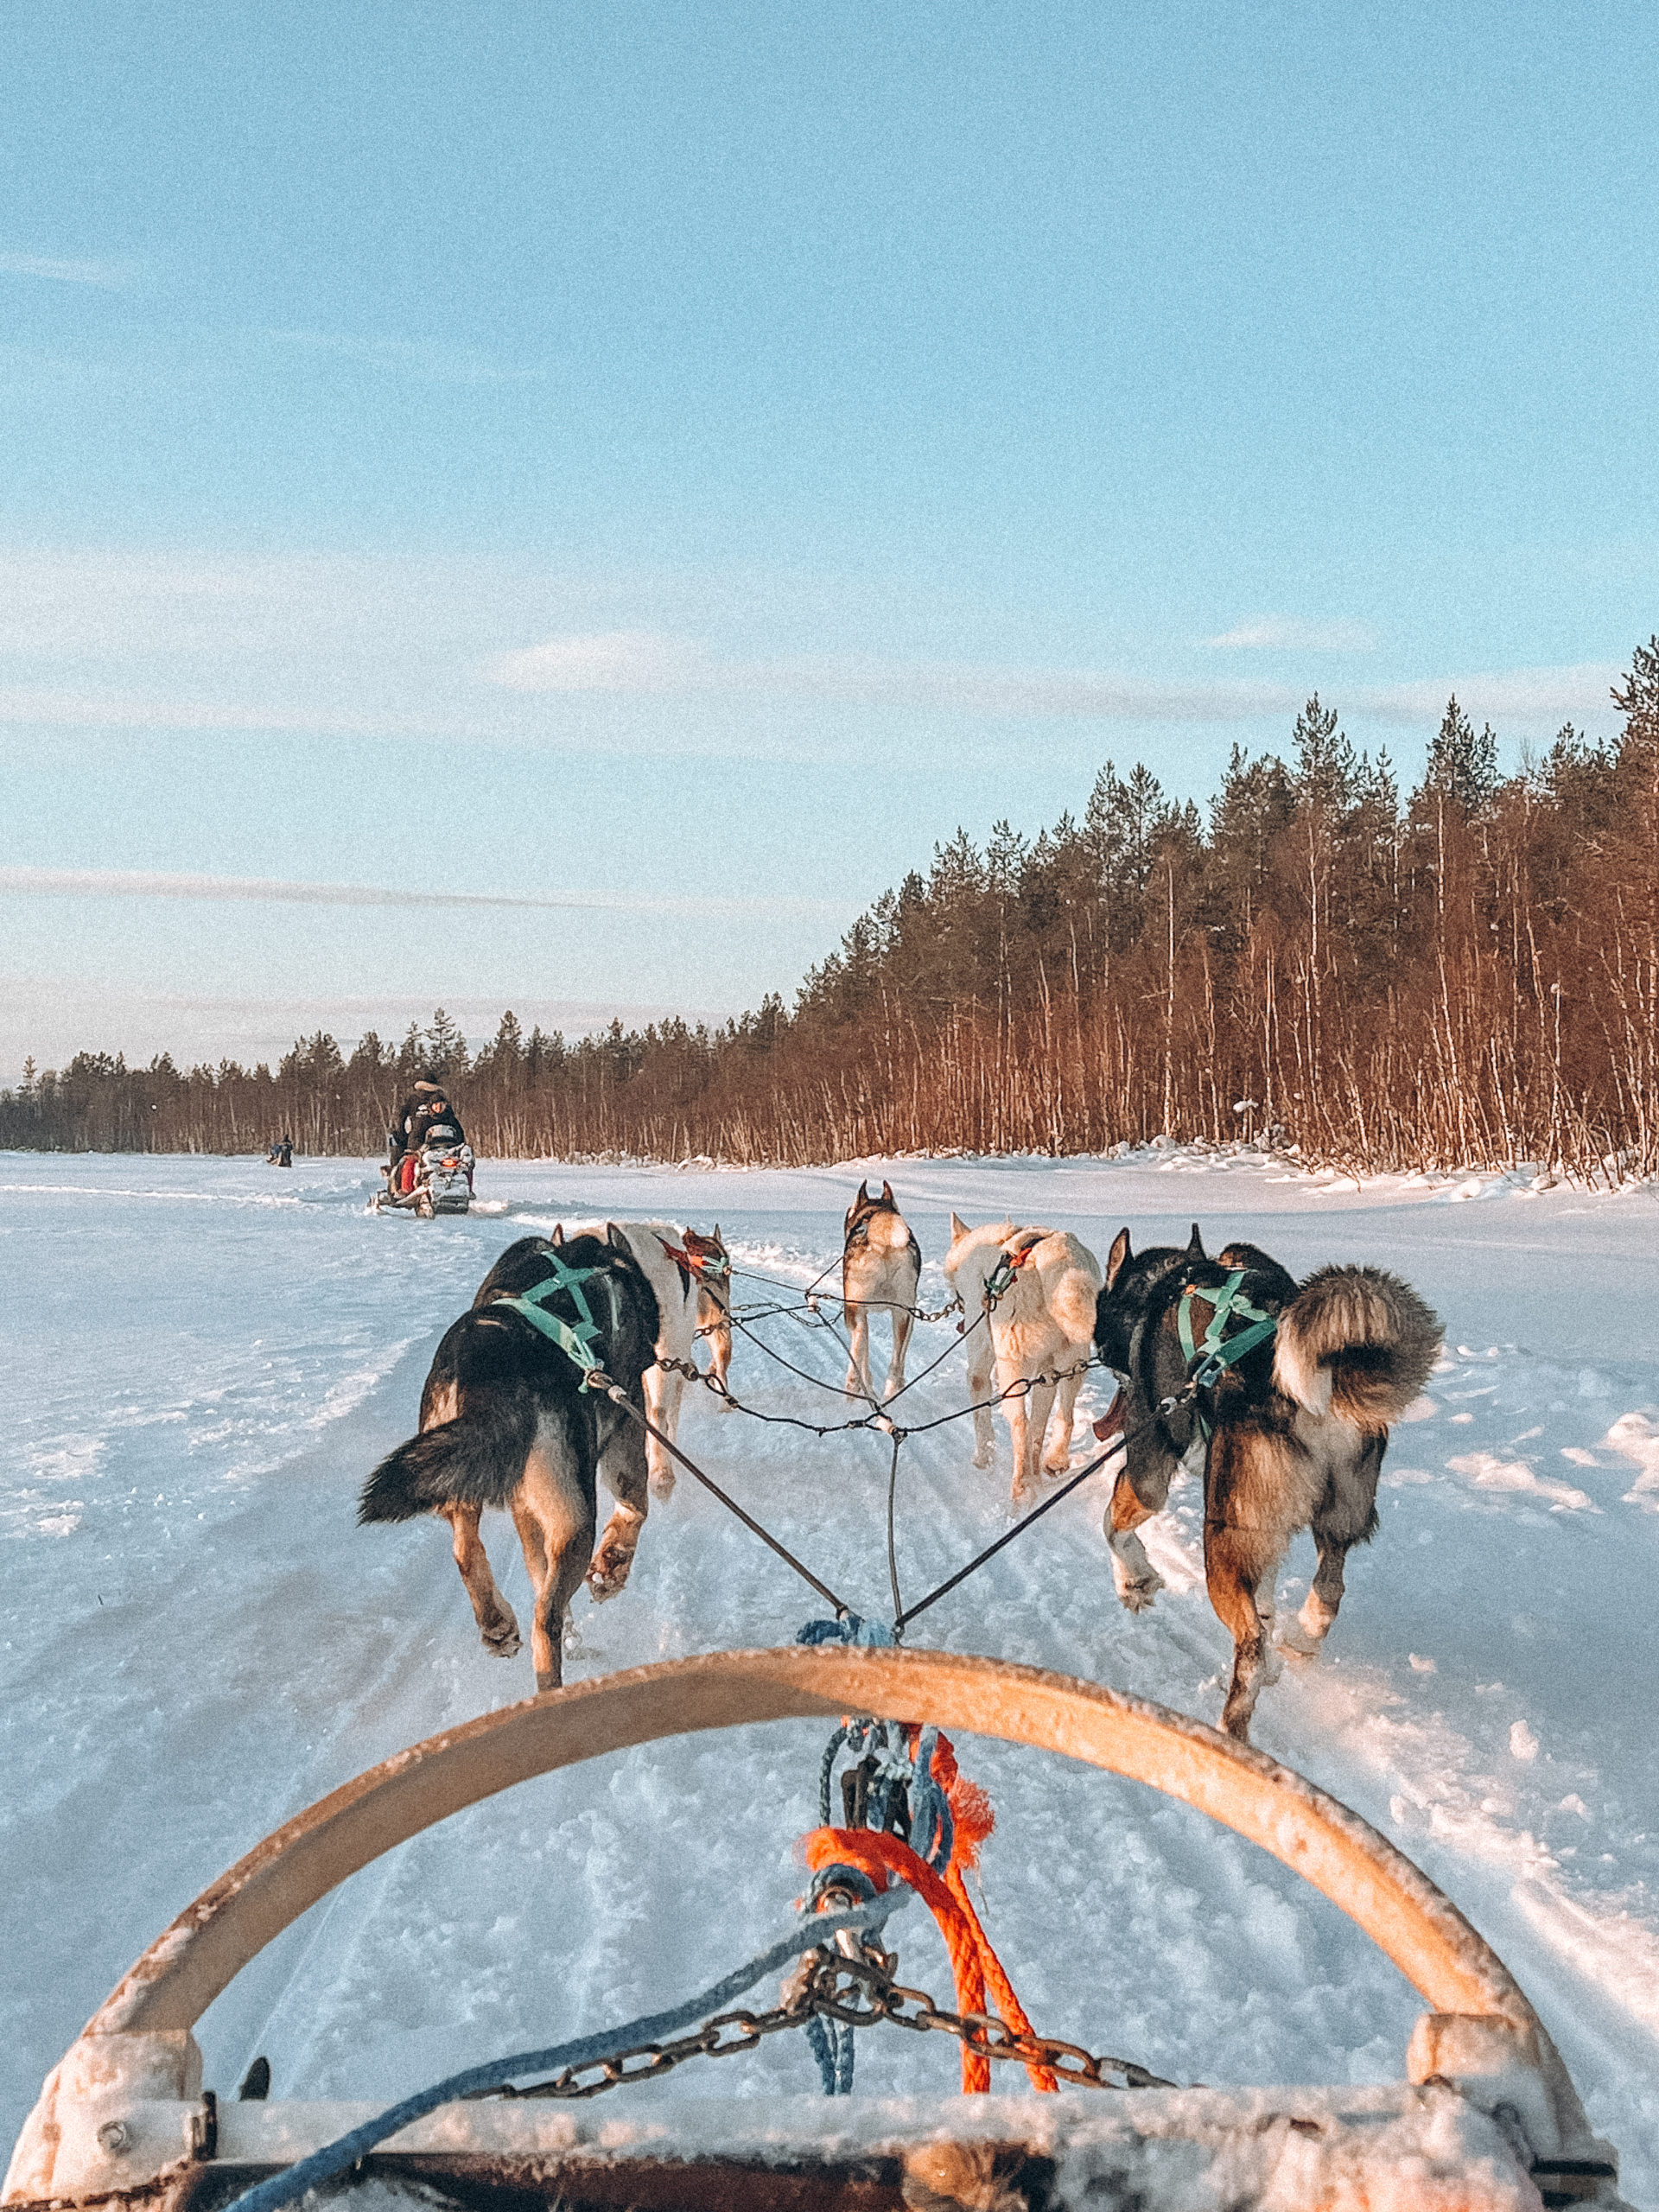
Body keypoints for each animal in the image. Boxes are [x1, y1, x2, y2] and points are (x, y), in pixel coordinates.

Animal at [362, 1230, 664, 1689]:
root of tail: (491, 1367)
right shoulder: (627, 1427)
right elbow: (636, 1507)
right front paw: (611, 1570)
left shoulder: (525, 1507)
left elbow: (534, 1565)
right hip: (576, 1518)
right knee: (544, 1616)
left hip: (462, 1477)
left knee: (467, 1549)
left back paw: (498, 1626)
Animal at [844, 1176, 925, 1397]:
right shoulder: (908, 1314)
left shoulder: (857, 1310)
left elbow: (863, 1348)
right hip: (902, 1313)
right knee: (896, 1364)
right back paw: (891, 1392)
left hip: (854, 1307)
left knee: (859, 1340)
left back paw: (853, 1382)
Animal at [946, 1211, 1106, 1503]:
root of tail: (1057, 1255)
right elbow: (1038, 1427)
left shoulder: (981, 1360)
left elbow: (981, 1410)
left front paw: (983, 1458)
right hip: (1066, 1365)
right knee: (1058, 1420)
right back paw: (1050, 1464)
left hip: (1013, 1367)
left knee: (1021, 1424)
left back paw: (1020, 1486)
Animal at [1092, 1221, 1442, 1734]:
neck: (1169, 1283)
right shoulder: (1268, 1535)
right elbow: (1266, 1600)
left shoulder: (1149, 1466)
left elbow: (1113, 1525)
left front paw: (1135, 1583)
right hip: (1334, 1512)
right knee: (1327, 1591)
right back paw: (1301, 1638)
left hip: (1223, 1537)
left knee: (1252, 1644)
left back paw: (1232, 1727)